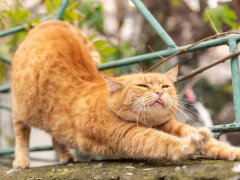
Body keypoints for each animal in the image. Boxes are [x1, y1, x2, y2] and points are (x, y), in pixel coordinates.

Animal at [11, 20, 240, 169]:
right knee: (21, 131)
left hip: (53, 120)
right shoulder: (128, 134)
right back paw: (21, 160)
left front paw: (229, 151)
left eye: (165, 86)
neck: (148, 122)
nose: (158, 92)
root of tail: (52, 23)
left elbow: (207, 141)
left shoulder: (170, 125)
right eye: (143, 86)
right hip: (22, 108)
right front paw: (190, 144)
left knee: (56, 135)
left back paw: (64, 155)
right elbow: (164, 142)